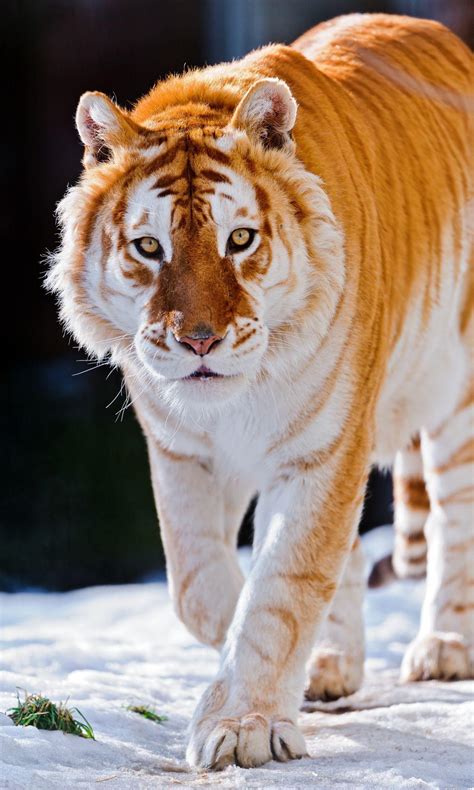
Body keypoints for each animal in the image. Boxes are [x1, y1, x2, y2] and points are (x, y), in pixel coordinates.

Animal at [47, 13, 473, 770]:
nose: (200, 341)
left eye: (240, 239)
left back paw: (444, 648)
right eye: (150, 248)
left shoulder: (324, 451)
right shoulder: (181, 453)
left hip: (458, 402)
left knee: (456, 527)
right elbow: (201, 589)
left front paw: (243, 723)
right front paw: (271, 671)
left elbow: (281, 587)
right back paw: (333, 664)